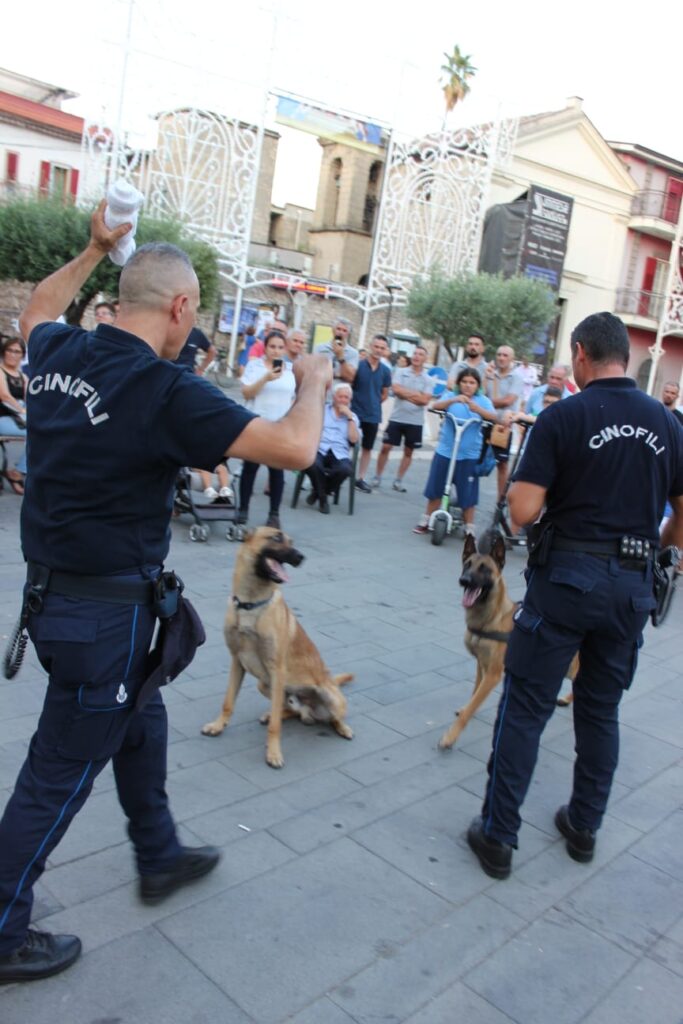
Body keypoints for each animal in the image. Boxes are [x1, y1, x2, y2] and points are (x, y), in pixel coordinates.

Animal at [200, 528, 352, 770]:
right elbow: (228, 701)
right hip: (265, 685)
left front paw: (273, 753)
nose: (301, 557)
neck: (250, 605)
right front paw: (218, 725)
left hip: (329, 697)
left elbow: (275, 728)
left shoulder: (277, 669)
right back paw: (273, 715)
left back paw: (343, 728)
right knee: (288, 710)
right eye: (276, 537)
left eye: (292, 541)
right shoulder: (237, 662)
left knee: (333, 718)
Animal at [440, 532, 581, 749]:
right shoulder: (482, 666)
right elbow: (474, 693)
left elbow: (474, 702)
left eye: (485, 569)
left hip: (571, 668)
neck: (490, 618)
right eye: (467, 564)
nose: (464, 580)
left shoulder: (493, 674)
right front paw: (467, 708)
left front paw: (451, 735)